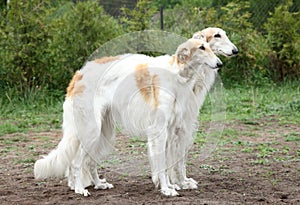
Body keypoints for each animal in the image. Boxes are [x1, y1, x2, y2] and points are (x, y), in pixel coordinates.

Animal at [34, 37, 223, 196]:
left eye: (209, 47)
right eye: (201, 47)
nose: (219, 63)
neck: (177, 75)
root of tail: (77, 76)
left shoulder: (170, 131)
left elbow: (167, 163)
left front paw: (171, 185)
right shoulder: (159, 131)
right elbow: (161, 164)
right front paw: (166, 189)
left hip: (103, 133)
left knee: (89, 162)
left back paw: (99, 184)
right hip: (91, 131)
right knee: (76, 162)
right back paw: (80, 189)